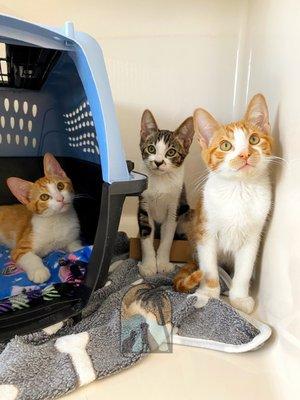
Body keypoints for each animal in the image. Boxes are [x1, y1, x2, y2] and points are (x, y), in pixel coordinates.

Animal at [0, 154, 82, 284]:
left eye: (60, 186)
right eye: (44, 197)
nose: (60, 199)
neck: (56, 220)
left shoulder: (72, 239)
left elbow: (76, 247)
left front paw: (82, 251)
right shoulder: (20, 248)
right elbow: (30, 257)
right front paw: (39, 271)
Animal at [138, 111, 195, 276]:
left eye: (171, 152)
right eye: (151, 149)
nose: (158, 162)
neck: (161, 180)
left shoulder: (174, 206)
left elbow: (168, 238)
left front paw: (162, 263)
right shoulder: (144, 206)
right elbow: (146, 236)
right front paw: (149, 265)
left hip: (185, 209)